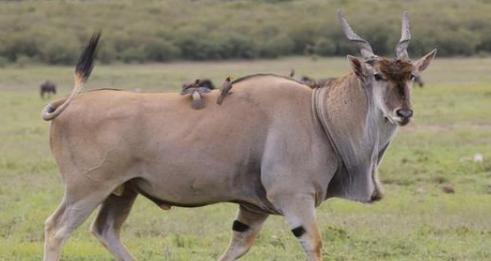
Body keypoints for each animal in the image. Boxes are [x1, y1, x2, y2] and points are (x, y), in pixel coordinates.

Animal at [41, 11, 434, 260]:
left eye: (411, 76)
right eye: (378, 76)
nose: (403, 113)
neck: (318, 114)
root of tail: (66, 106)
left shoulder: (253, 208)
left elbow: (238, 246)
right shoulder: (294, 197)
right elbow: (314, 245)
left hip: (123, 191)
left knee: (106, 231)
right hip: (88, 189)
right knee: (56, 229)